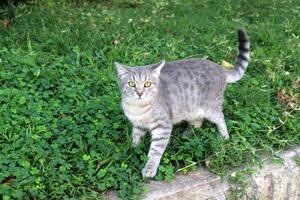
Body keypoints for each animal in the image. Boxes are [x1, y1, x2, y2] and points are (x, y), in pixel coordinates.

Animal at [113, 28, 250, 177]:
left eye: (147, 84)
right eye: (131, 84)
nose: (139, 93)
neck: (137, 108)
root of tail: (219, 68)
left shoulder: (163, 127)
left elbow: (155, 151)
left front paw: (150, 168)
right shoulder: (138, 125)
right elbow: (136, 137)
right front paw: (132, 149)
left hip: (211, 108)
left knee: (221, 118)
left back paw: (224, 137)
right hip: (191, 109)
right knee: (198, 122)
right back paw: (188, 133)